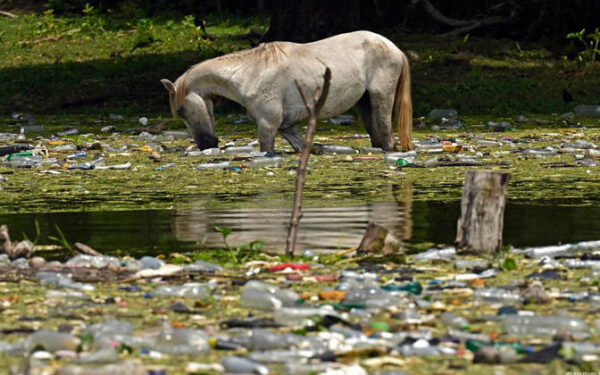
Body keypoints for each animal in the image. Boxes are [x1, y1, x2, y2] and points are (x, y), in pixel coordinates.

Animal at [159, 30, 412, 152]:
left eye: (181, 111)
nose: (207, 145)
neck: (250, 73)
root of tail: (394, 48)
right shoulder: (286, 127)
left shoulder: (267, 126)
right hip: (364, 103)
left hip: (381, 99)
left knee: (386, 135)